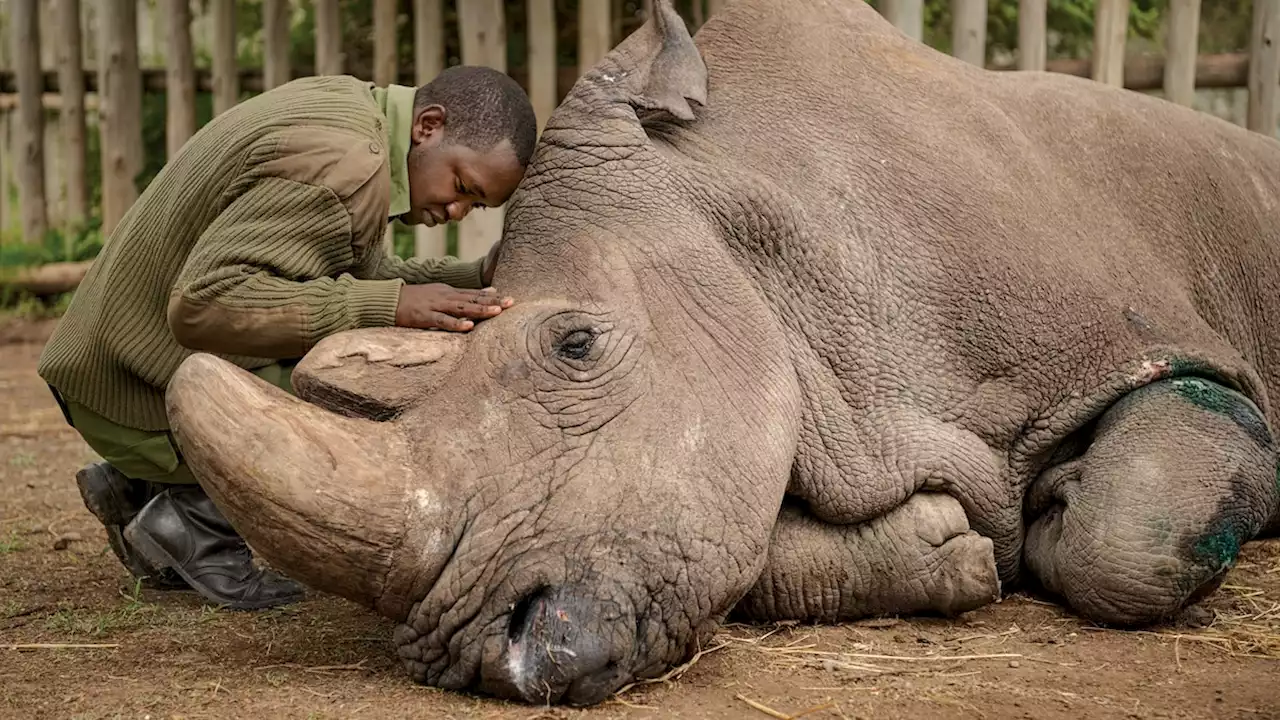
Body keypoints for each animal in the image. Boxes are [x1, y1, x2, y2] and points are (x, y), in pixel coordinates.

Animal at [162, 0, 1280, 707]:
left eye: (576, 344)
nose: (481, 654)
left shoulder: (1151, 350)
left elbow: (1127, 537)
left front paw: (1055, 513)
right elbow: (741, 545)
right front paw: (950, 548)